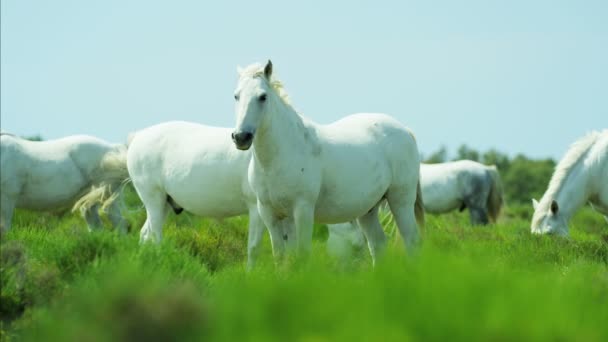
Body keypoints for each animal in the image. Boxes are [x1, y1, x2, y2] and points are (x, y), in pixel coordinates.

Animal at [0, 132, 129, 234]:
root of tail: (113, 148)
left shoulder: (7, 198)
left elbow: (4, 228)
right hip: (90, 200)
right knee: (96, 224)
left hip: (107, 195)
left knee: (119, 221)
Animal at [230, 60, 426, 264]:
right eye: (236, 96)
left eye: (263, 96)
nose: (241, 137)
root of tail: (405, 130)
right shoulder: (270, 214)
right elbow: (282, 257)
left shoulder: (303, 210)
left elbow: (301, 255)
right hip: (368, 210)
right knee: (378, 245)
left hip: (400, 200)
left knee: (411, 241)